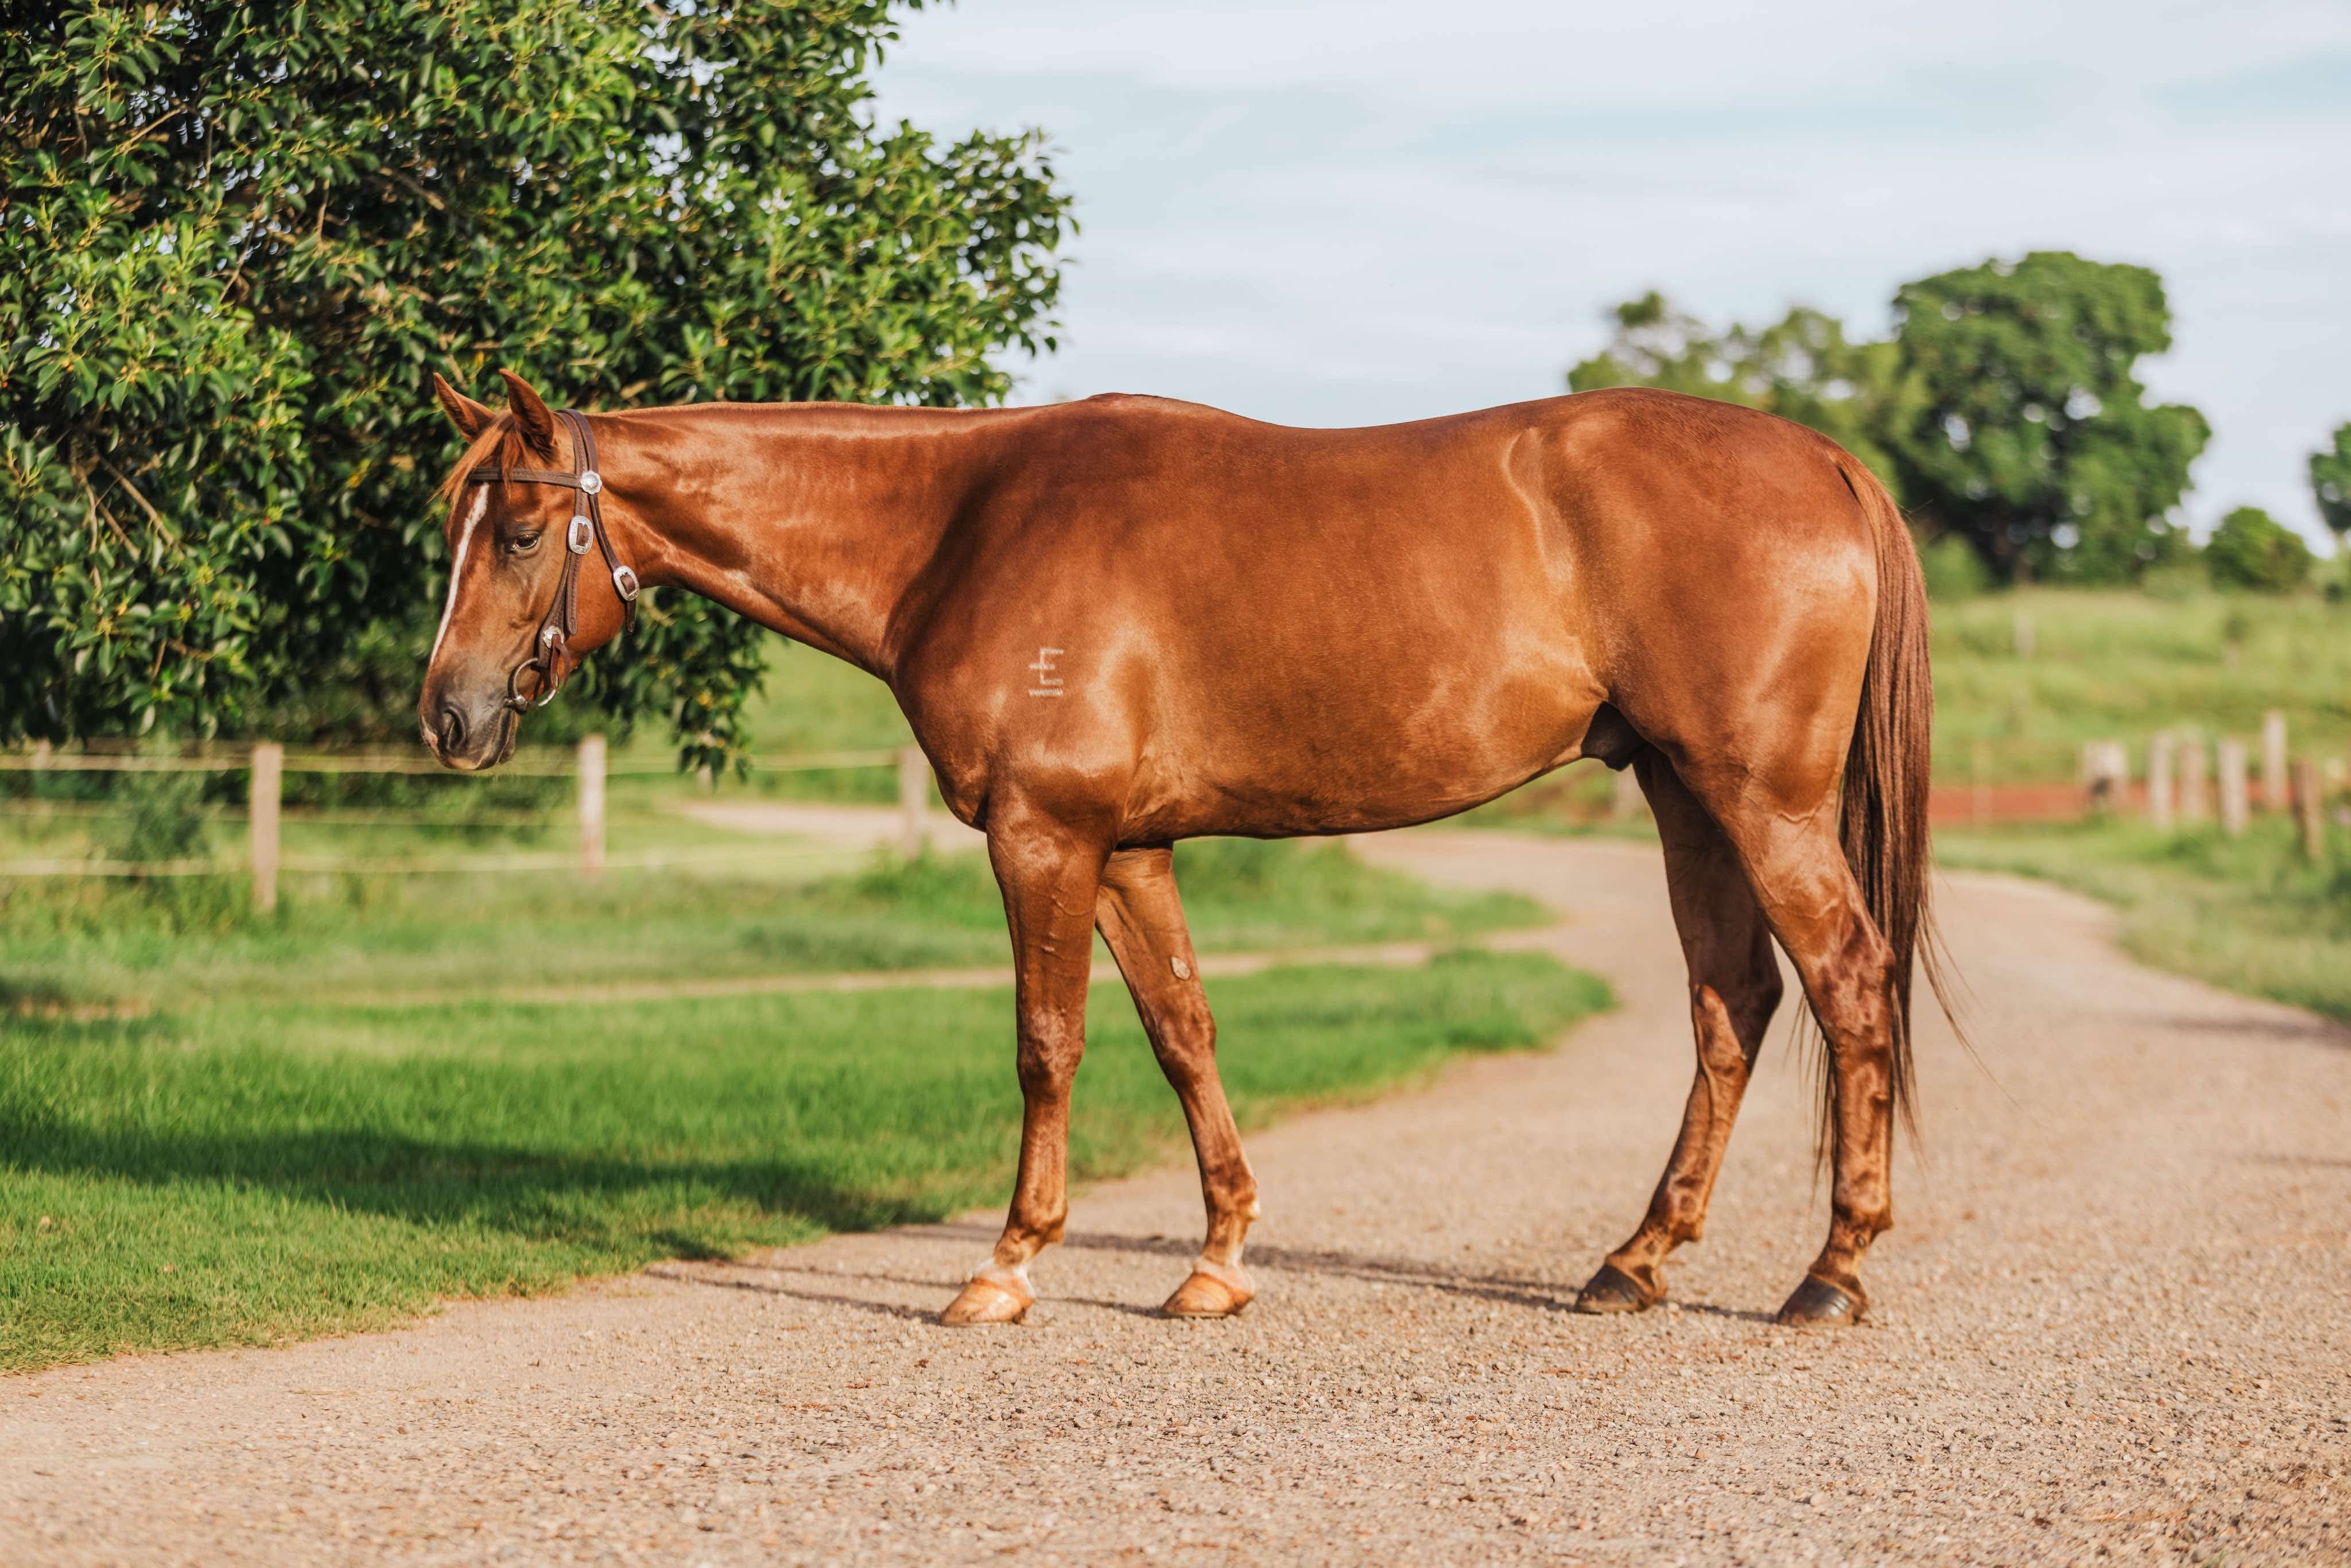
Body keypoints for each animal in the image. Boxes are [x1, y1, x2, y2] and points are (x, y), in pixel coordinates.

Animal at [418, 368, 1951, 1329]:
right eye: (455, 522)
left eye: (519, 529)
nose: (447, 715)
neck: (961, 526)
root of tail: (1823, 459)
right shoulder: (1132, 848)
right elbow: (1182, 1032)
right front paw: (1216, 1261)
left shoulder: (1045, 839)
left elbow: (1047, 1045)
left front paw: (1005, 1267)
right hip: (1687, 798)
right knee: (1731, 1003)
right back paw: (1634, 1260)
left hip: (1757, 802)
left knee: (1845, 983)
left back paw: (1827, 1272)